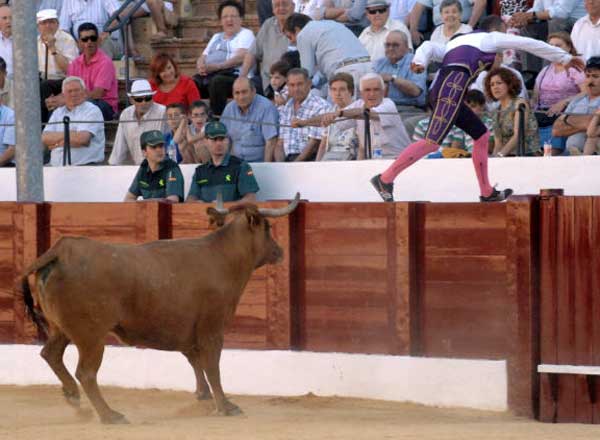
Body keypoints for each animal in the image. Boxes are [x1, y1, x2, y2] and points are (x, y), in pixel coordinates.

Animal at [19, 194, 300, 424]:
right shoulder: (212, 328)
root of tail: (61, 251)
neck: (223, 256)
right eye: (267, 228)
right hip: (92, 337)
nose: (280, 251)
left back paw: (74, 398)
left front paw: (204, 397)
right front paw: (226, 406)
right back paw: (110, 415)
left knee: (51, 355)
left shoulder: (187, 332)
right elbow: (212, 366)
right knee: (86, 373)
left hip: (61, 329)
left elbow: (195, 361)